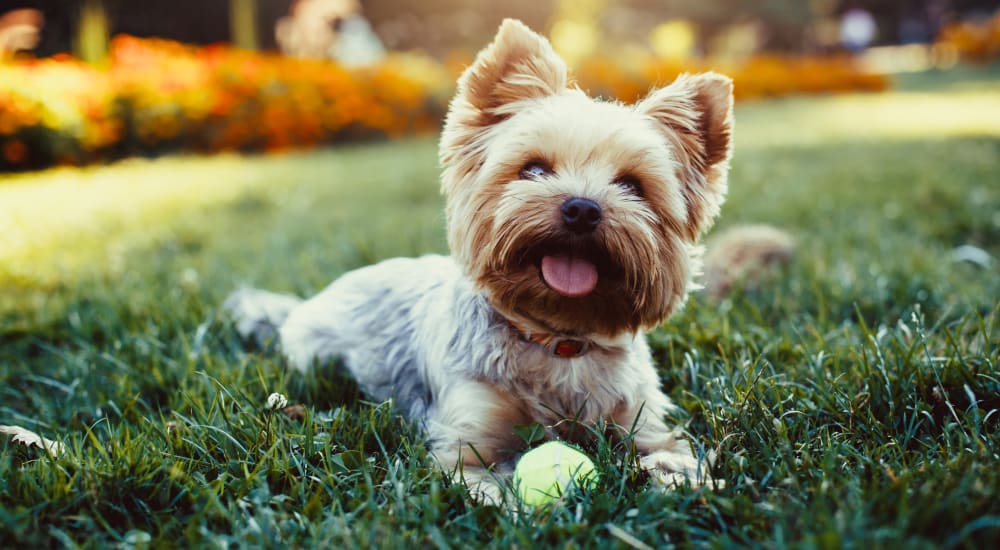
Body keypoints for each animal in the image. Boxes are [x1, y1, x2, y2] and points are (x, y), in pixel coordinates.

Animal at [230, 20, 740, 504]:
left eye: (633, 185)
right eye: (533, 169)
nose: (582, 208)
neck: (557, 340)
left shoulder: (644, 421)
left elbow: (670, 455)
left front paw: (686, 484)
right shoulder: (468, 442)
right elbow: (488, 484)